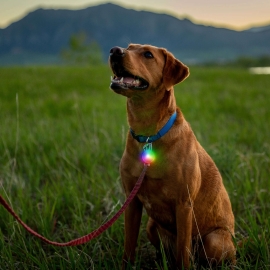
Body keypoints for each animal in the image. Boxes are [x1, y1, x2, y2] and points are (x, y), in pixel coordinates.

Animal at [108, 43, 235, 268]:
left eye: (148, 54)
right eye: (129, 47)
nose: (115, 50)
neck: (148, 134)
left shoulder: (183, 204)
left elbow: (184, 251)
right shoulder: (132, 201)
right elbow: (129, 245)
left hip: (214, 240)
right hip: (151, 226)